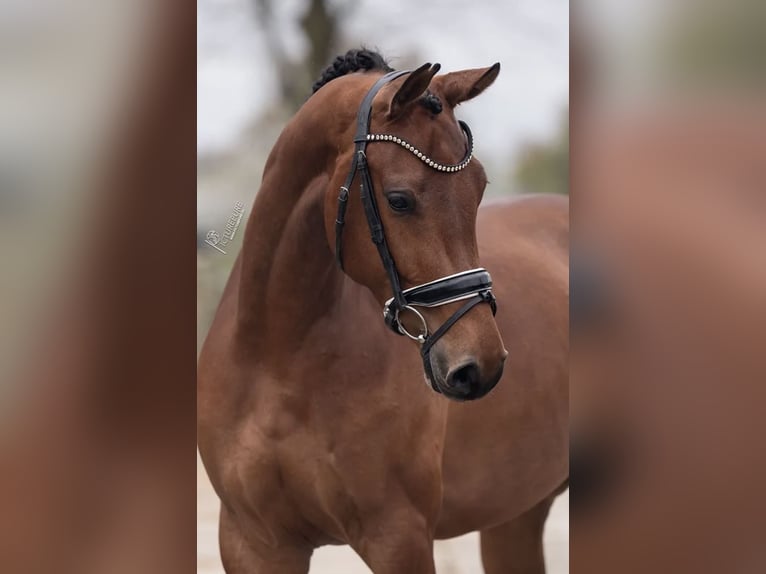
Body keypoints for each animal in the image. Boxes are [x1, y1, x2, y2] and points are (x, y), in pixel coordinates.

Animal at [198, 50, 568, 574]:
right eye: (399, 199)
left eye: (479, 188)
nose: (481, 365)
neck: (279, 361)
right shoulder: (253, 543)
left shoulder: (398, 537)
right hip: (517, 512)